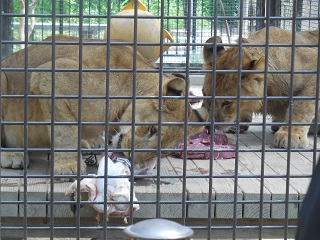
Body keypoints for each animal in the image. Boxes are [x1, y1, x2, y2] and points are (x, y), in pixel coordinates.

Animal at [0, 34, 209, 174]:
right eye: (152, 129)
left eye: (164, 152)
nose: (132, 158)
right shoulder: (52, 75)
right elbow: (64, 130)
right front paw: (68, 166)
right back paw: (12, 156)